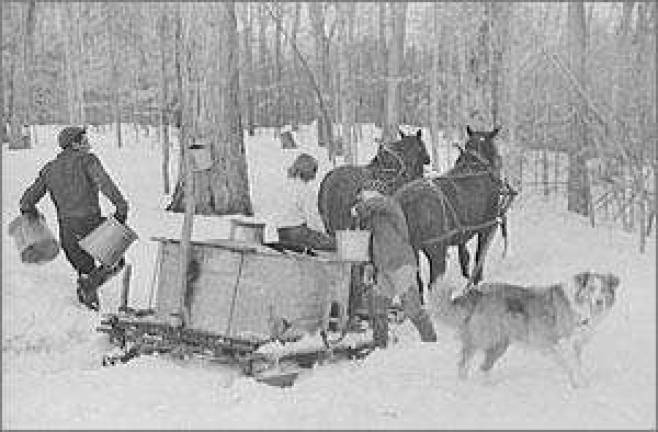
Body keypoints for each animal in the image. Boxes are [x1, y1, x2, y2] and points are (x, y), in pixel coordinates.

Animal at [390, 125, 512, 296]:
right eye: (495, 150)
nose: (501, 163)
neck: (477, 164)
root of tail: (407, 202)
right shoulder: (487, 226)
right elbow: (479, 257)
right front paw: (476, 283)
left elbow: (466, 257)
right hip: (436, 248)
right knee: (433, 281)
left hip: (411, 251)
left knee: (417, 283)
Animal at [434, 272, 616, 386]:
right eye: (591, 288)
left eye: (604, 289)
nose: (599, 302)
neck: (580, 306)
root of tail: (477, 292)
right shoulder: (563, 341)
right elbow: (573, 365)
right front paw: (579, 384)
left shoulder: (575, 345)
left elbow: (575, 364)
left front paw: (578, 381)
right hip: (487, 337)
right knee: (468, 363)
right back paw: (471, 386)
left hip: (499, 343)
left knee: (478, 365)